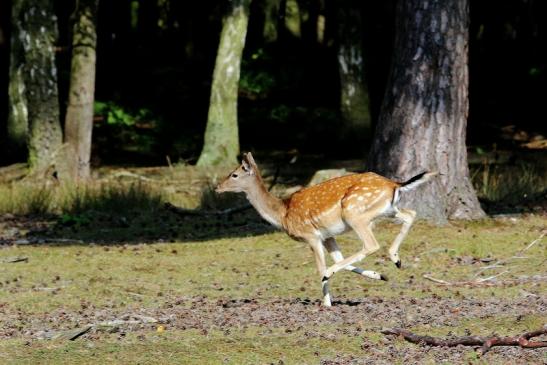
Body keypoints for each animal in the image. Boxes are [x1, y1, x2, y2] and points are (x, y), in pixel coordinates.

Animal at [216, 152, 438, 306]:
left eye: (234, 174)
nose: (217, 187)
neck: (283, 214)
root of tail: (394, 184)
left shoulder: (311, 236)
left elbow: (320, 267)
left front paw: (326, 302)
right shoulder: (328, 236)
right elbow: (341, 260)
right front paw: (379, 276)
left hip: (355, 214)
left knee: (371, 244)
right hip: (388, 210)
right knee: (411, 214)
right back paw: (396, 259)